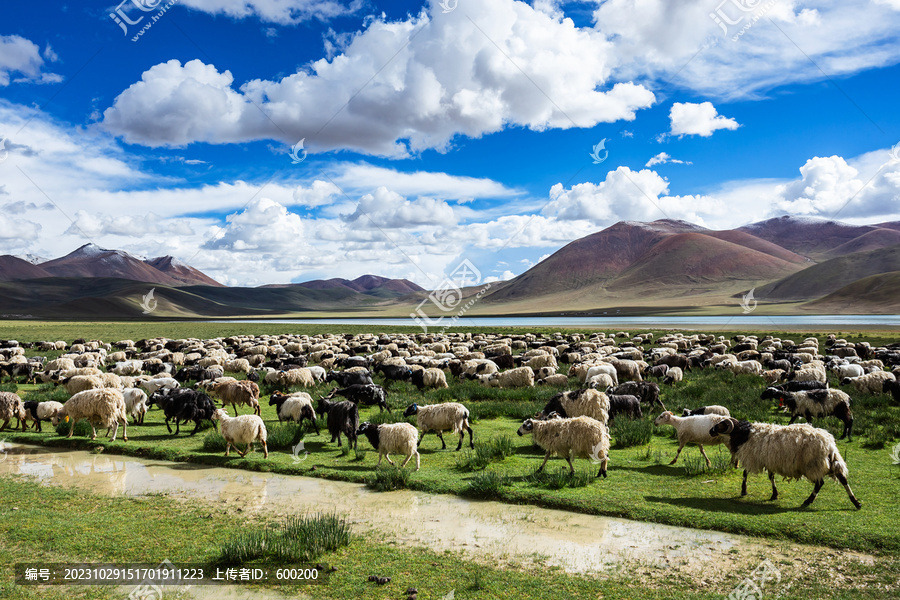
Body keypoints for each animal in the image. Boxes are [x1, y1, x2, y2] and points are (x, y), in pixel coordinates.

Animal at [712, 418, 864, 510]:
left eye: (721, 425)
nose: (710, 431)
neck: (744, 434)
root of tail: (829, 444)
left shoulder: (753, 457)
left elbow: (745, 473)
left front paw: (743, 490)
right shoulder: (769, 460)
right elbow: (771, 477)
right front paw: (774, 494)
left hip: (814, 464)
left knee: (820, 483)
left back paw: (808, 501)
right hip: (831, 462)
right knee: (843, 479)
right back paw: (856, 502)